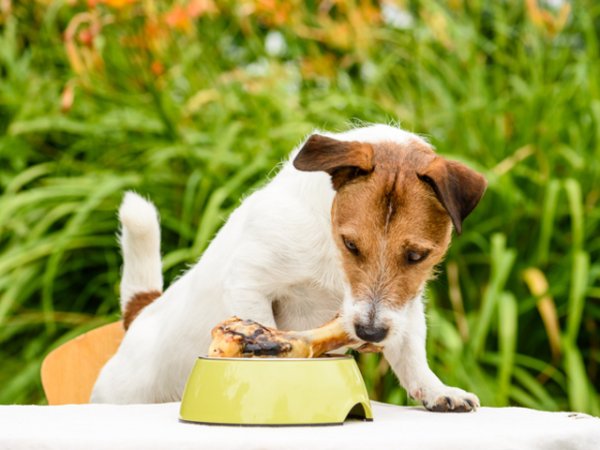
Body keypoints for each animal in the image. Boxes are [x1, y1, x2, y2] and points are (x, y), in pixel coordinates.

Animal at [92, 124, 488, 412]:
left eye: (416, 256)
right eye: (350, 244)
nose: (370, 333)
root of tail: (141, 317)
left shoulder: (405, 306)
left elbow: (410, 352)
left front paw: (436, 390)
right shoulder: (250, 283)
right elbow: (263, 329)